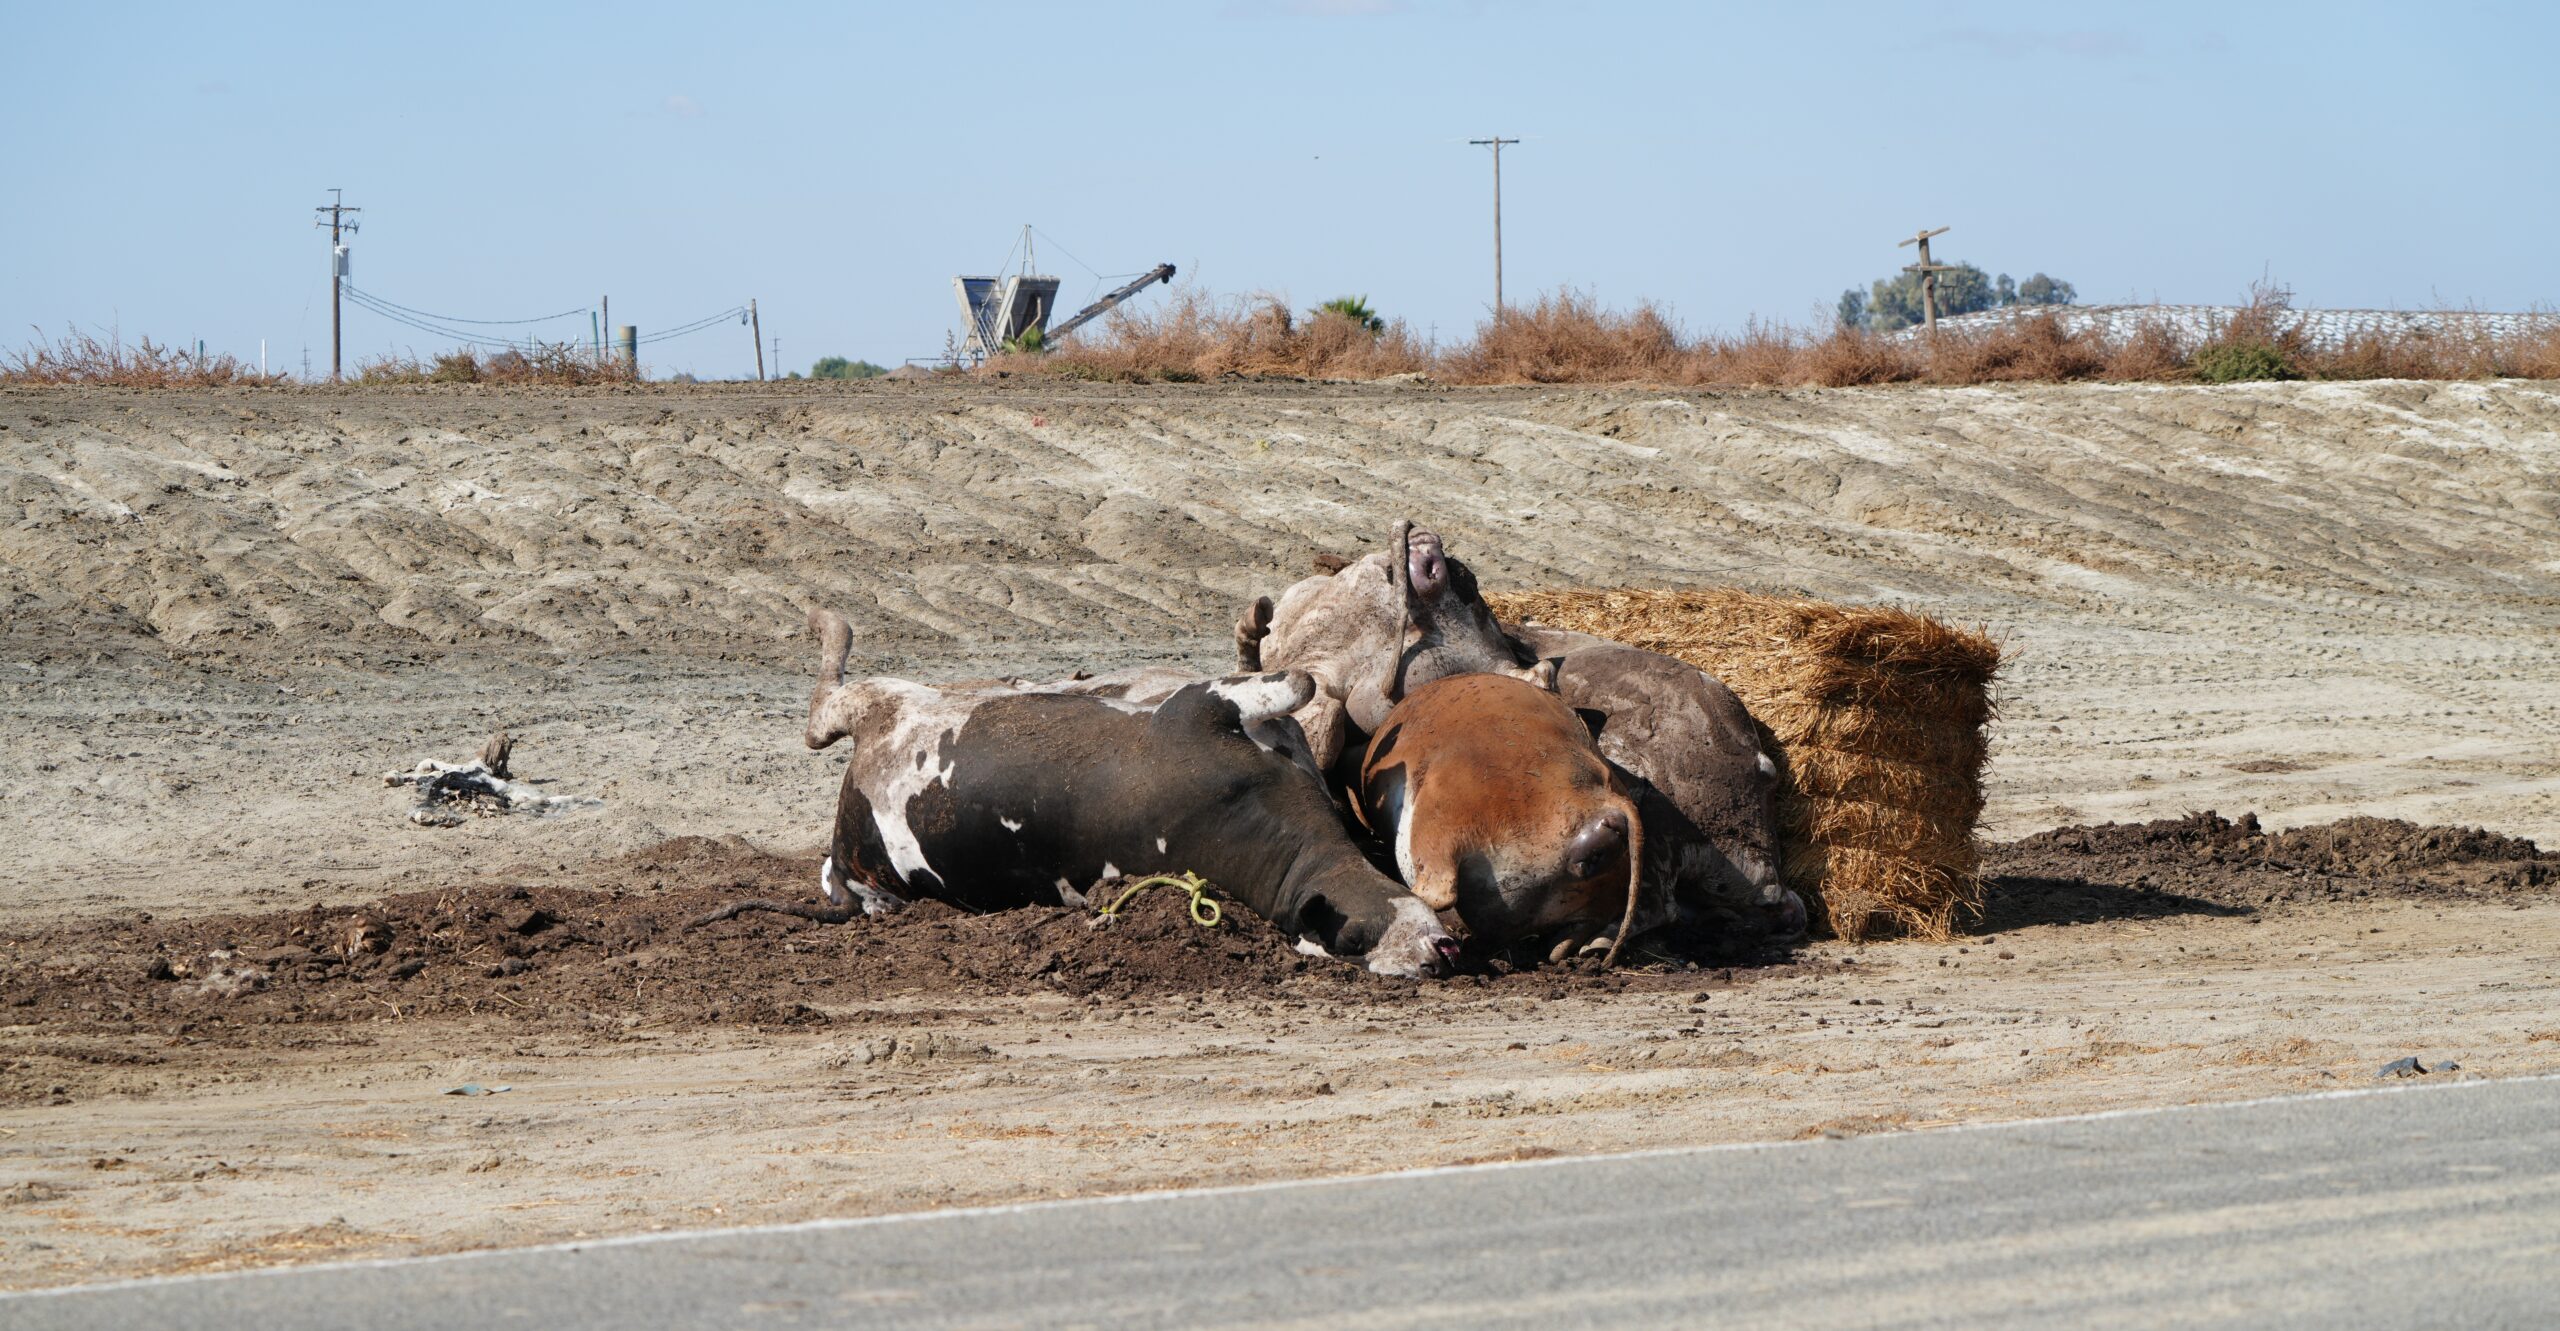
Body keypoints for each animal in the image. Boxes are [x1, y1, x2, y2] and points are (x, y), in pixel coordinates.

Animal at [747, 614, 1454, 977]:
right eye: (1355, 940)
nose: (1437, 956)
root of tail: (852, 862)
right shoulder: (1199, 709)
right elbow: (1299, 679)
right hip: (883, 704)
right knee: (822, 710)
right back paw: (829, 624)